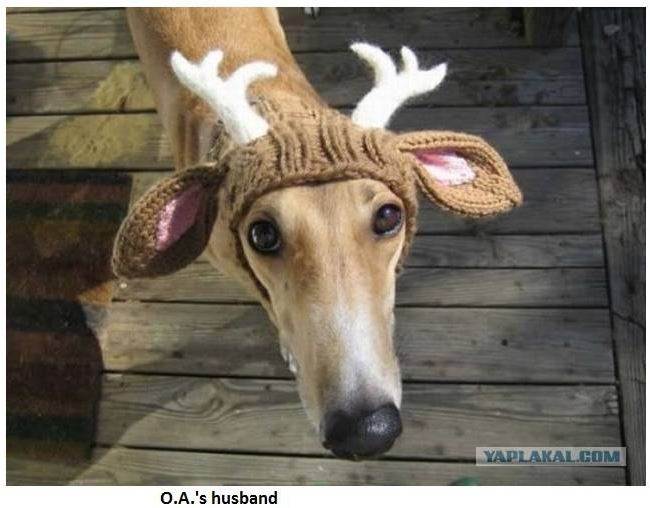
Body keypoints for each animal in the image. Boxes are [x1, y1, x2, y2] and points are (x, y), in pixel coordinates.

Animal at [113, 7, 522, 461]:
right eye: (261, 234)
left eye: (389, 215)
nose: (366, 432)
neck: (278, 111)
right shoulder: (236, 268)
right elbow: (270, 304)